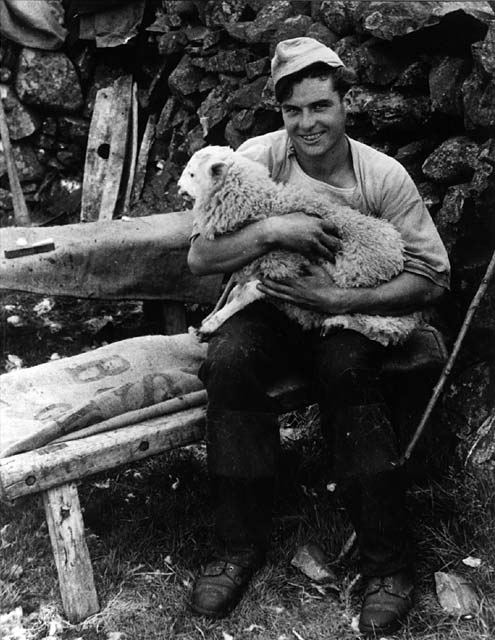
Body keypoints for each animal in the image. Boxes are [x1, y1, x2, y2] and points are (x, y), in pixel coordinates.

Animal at [179, 146, 422, 348]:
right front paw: (206, 322)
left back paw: (338, 322)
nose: (179, 188)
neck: (262, 204)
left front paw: (212, 324)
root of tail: (399, 253)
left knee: (385, 332)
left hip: (382, 307)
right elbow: (234, 293)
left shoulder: (282, 266)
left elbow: (243, 294)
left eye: (192, 174)